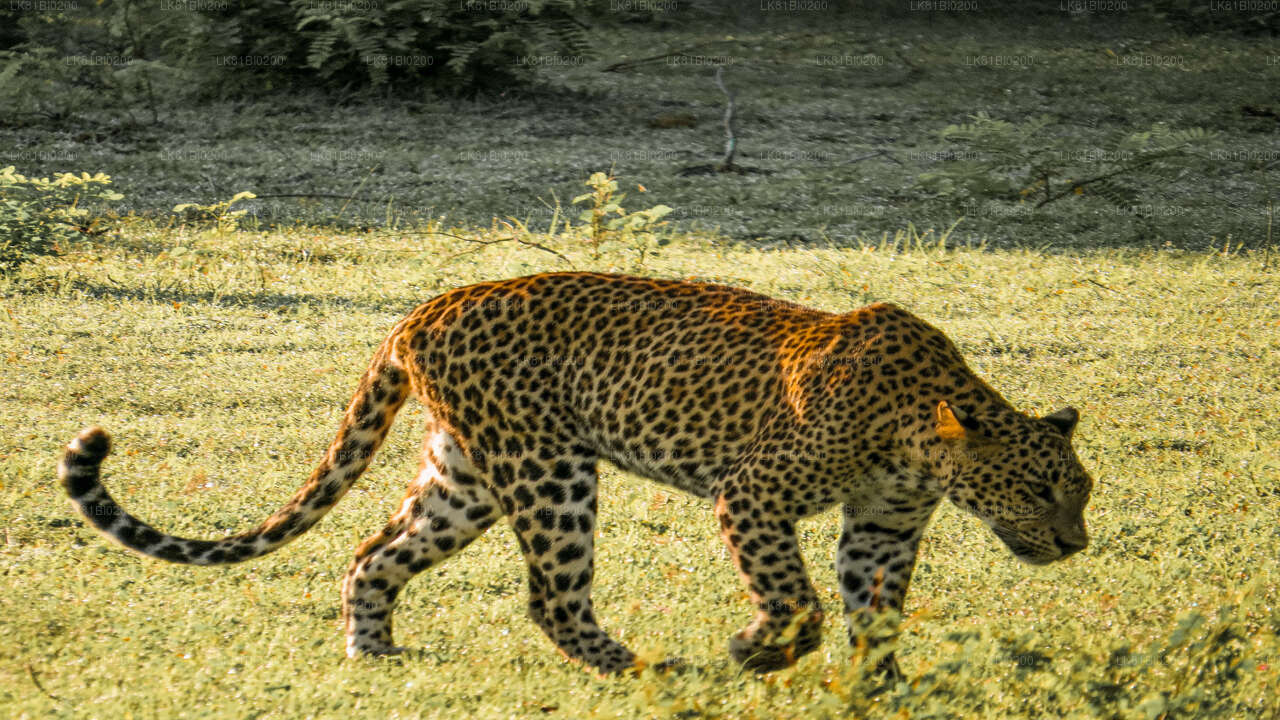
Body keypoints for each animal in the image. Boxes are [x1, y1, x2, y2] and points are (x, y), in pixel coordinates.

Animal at [59, 271, 1093, 675]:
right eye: (1043, 490)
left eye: (1077, 492)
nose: (1077, 545)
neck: (925, 437)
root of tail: (427, 305)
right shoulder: (753, 493)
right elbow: (795, 598)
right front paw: (755, 651)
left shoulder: (882, 525)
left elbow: (876, 615)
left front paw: (881, 688)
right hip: (549, 471)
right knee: (552, 597)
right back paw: (641, 669)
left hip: (466, 477)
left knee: (372, 551)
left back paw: (374, 653)